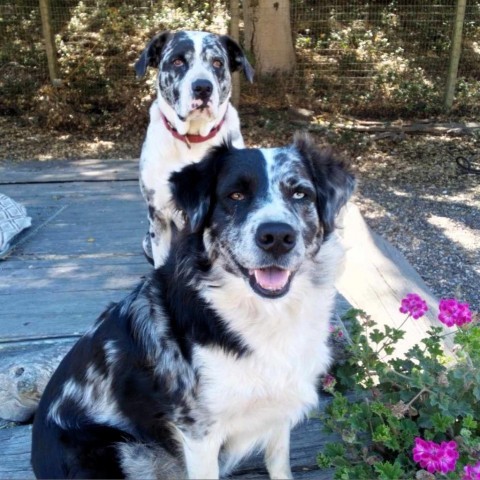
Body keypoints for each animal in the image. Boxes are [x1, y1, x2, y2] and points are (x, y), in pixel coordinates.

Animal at [30, 136, 352, 480]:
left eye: (300, 193)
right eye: (235, 195)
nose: (277, 236)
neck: (268, 314)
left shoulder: (279, 406)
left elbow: (278, 460)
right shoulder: (199, 432)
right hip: (119, 450)